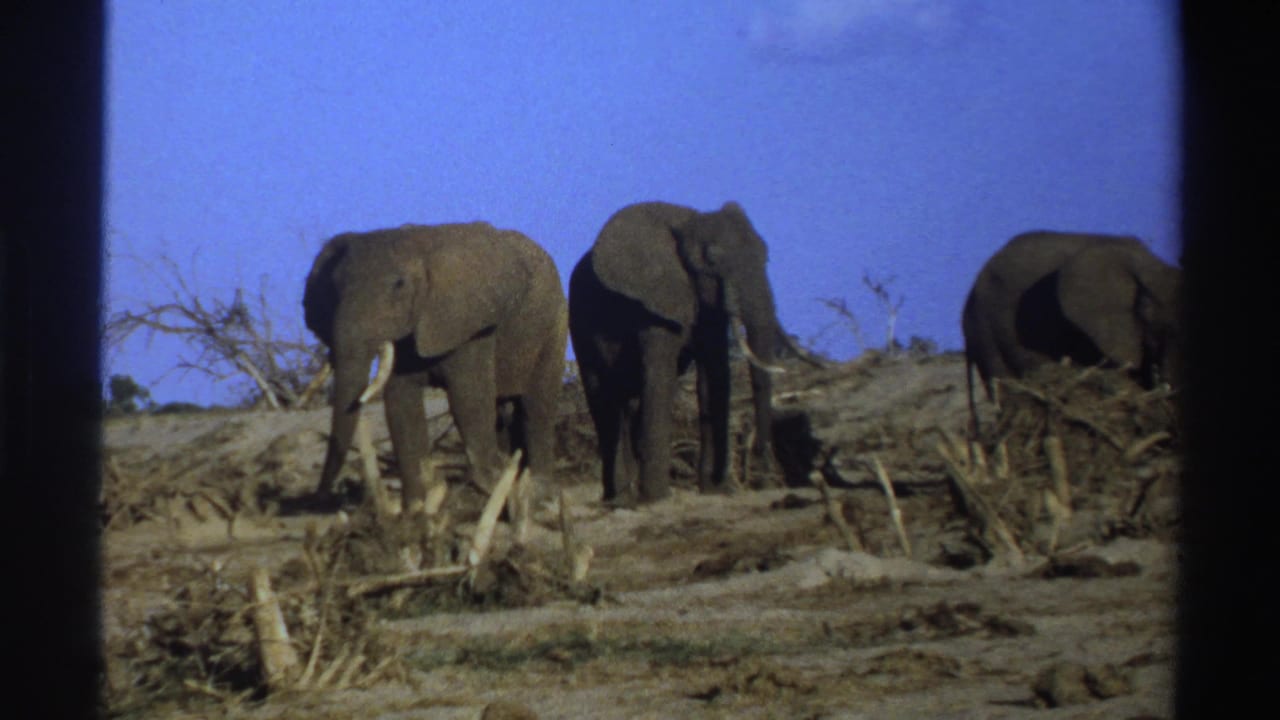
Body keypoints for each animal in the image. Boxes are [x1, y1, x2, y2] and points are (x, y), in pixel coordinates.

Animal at [303, 222, 568, 523]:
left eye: (399, 285)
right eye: (333, 289)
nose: (320, 499)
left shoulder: (470, 324)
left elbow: (468, 400)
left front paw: (493, 490)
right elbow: (401, 406)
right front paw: (416, 510)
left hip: (554, 325)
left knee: (537, 407)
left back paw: (539, 496)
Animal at [568, 201, 819, 506]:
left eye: (765, 255)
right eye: (711, 260)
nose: (764, 480)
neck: (687, 222)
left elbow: (715, 375)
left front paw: (716, 491)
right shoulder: (655, 303)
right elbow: (660, 376)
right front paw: (657, 499)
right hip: (578, 324)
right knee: (603, 398)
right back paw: (620, 499)